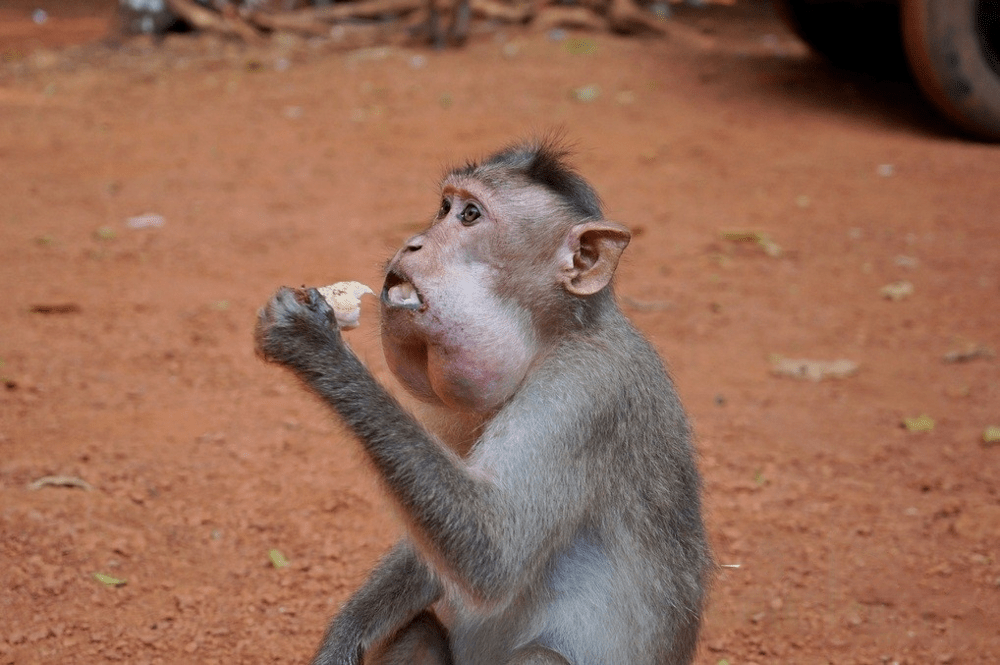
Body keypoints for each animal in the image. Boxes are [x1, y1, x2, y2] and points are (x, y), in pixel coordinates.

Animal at [256, 137, 712, 660]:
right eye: (443, 208)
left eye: (470, 215)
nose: (413, 241)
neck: (548, 339)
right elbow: (434, 555)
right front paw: (342, 638)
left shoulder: (583, 392)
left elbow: (494, 548)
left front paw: (312, 343)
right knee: (419, 629)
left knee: (540, 655)